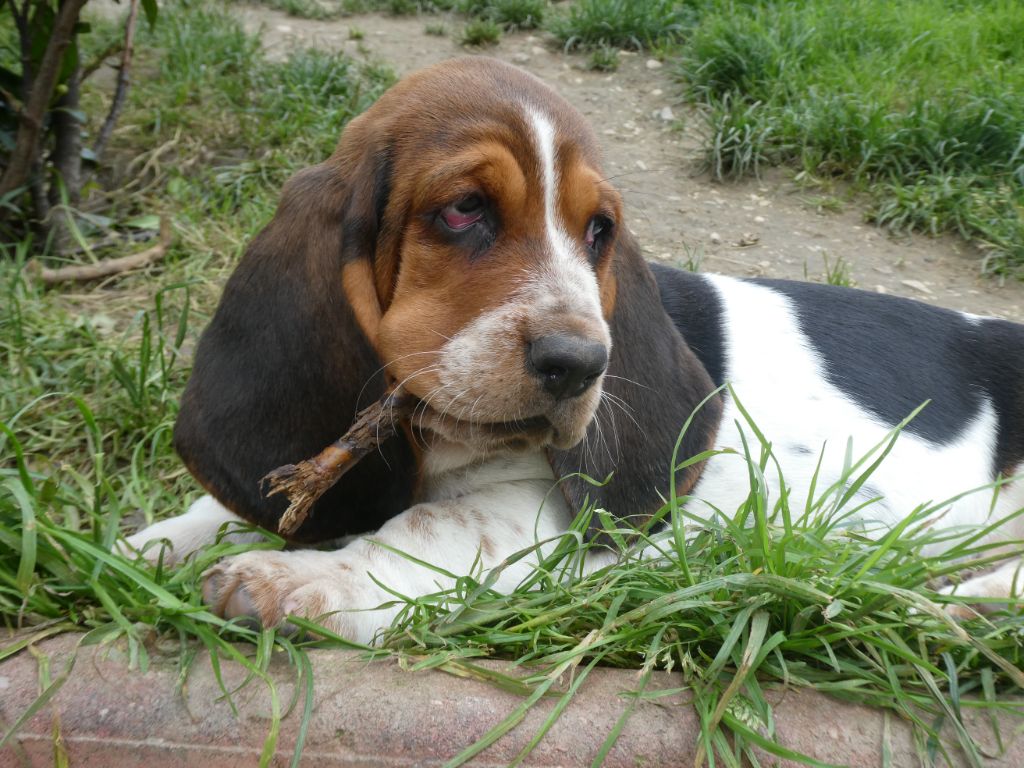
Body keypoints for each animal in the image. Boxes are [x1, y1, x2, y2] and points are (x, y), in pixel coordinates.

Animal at [125, 57, 1024, 638]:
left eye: (600, 231)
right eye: (463, 210)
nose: (582, 366)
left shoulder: (533, 509)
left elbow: (429, 528)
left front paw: (300, 579)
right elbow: (216, 508)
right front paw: (146, 546)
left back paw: (965, 607)